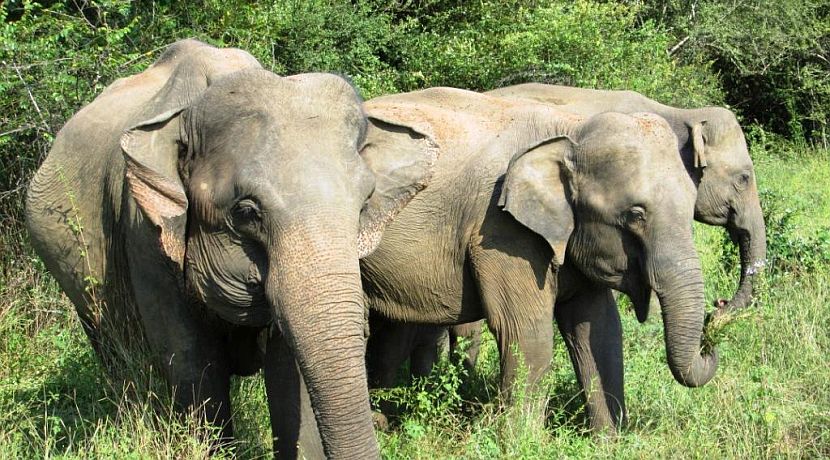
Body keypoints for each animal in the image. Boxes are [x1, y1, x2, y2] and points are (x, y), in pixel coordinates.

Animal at [25, 39, 441, 459]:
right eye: (246, 211)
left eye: (364, 203)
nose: (381, 422)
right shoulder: (143, 233)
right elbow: (192, 359)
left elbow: (287, 371)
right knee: (115, 351)